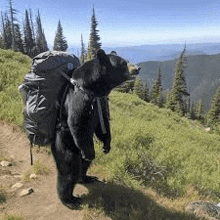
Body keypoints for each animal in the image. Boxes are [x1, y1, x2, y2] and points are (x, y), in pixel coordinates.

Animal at [50, 49, 138, 209]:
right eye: (123, 64)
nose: (137, 68)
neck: (94, 88)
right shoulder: (80, 97)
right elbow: (77, 121)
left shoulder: (101, 101)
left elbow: (103, 123)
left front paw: (107, 145)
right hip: (65, 142)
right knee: (69, 170)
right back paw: (69, 199)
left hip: (85, 144)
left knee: (84, 163)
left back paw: (86, 178)